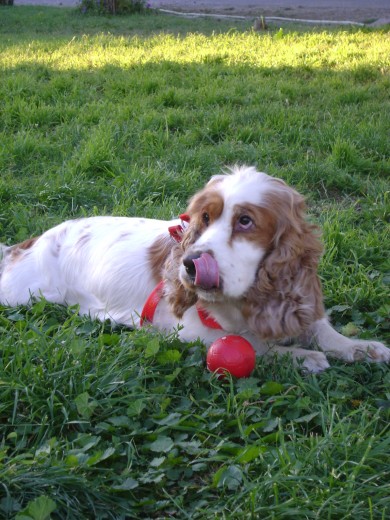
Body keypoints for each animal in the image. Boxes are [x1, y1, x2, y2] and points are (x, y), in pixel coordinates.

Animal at [1, 165, 388, 372]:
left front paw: (361, 347)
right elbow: (251, 344)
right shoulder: (189, 333)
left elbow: (320, 326)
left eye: (245, 221)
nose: (189, 264)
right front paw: (302, 357)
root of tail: (34, 241)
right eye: (204, 218)